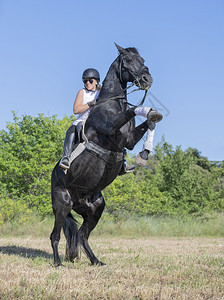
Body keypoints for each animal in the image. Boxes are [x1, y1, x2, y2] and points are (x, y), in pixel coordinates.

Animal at [50, 43, 161, 266]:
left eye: (143, 60)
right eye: (128, 60)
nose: (147, 80)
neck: (112, 102)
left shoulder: (129, 140)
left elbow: (150, 122)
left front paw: (144, 154)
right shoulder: (109, 127)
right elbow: (132, 111)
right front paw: (147, 110)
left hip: (95, 208)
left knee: (82, 235)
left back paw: (96, 261)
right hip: (62, 203)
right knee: (55, 236)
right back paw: (57, 263)